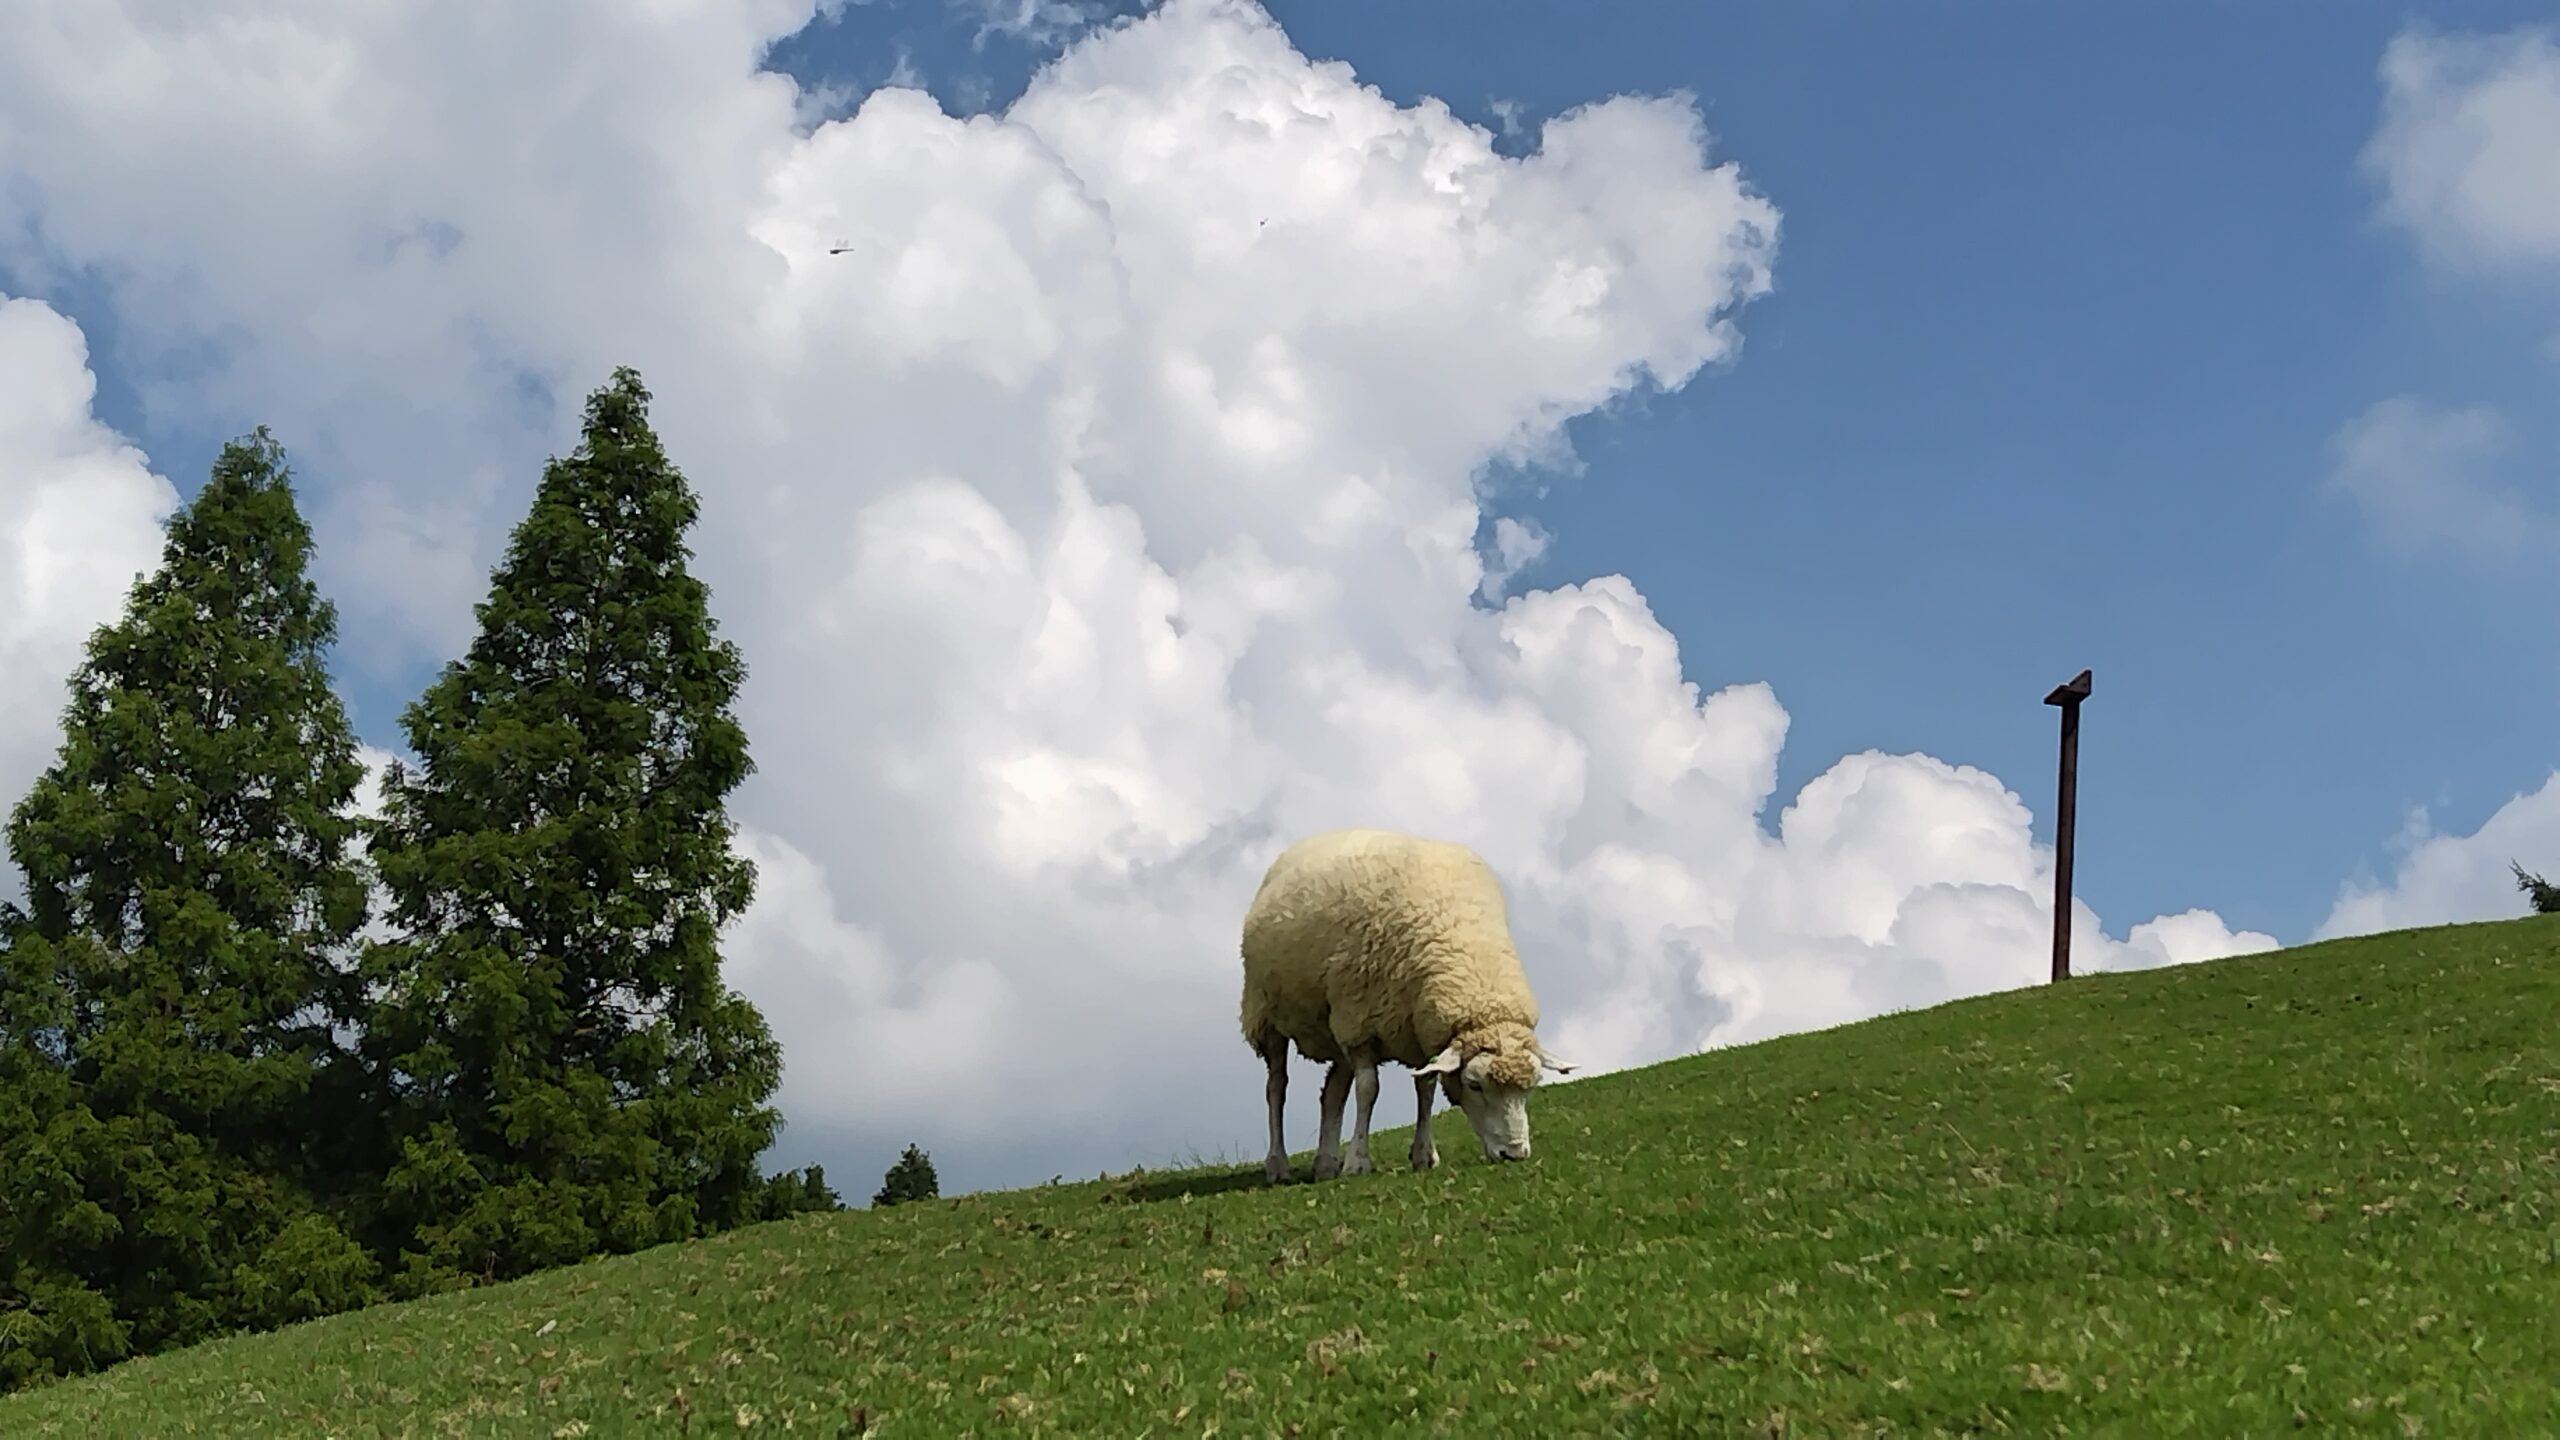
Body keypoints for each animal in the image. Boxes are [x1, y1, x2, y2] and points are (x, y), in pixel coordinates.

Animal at [1244, 825, 1576, 1183]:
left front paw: (1423, 1154)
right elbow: (1368, 1090)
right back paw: (1278, 1165)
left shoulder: (1418, 1031)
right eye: (1474, 1085)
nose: (1514, 1154)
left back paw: (1326, 1165)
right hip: (1267, 1014)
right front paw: (1358, 1161)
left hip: (1334, 1022)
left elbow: (1425, 1089)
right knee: (1277, 1088)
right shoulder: (1360, 1025)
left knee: (1332, 1093)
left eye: (1531, 1087)